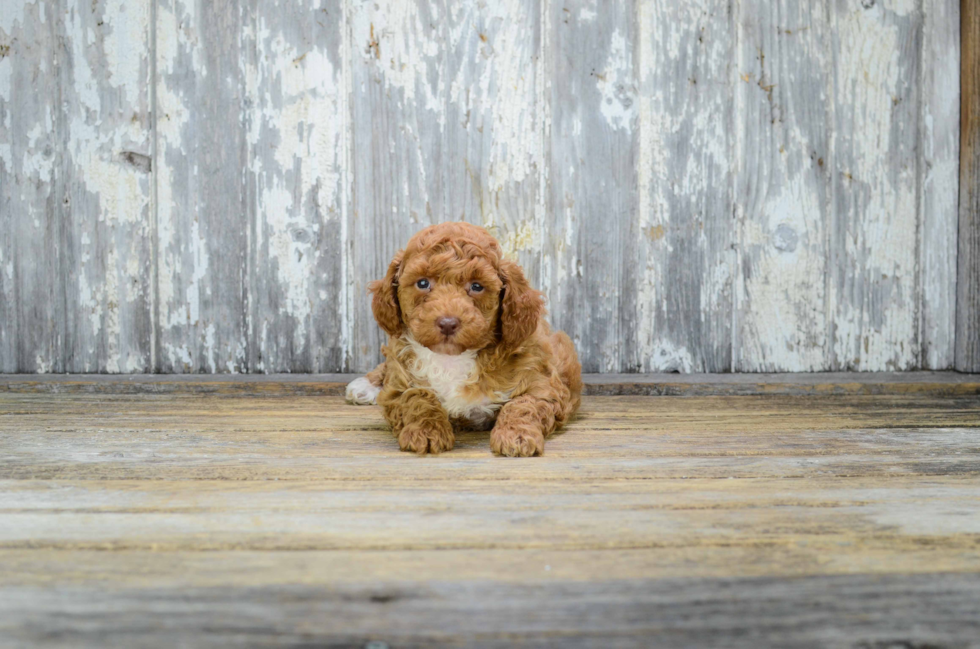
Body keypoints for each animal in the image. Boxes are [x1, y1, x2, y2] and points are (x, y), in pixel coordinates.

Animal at [344, 223, 580, 456]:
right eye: (423, 283)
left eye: (476, 286)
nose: (448, 323)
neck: (450, 358)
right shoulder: (398, 388)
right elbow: (417, 397)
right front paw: (426, 431)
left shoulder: (544, 383)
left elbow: (524, 404)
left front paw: (516, 435)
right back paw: (365, 385)